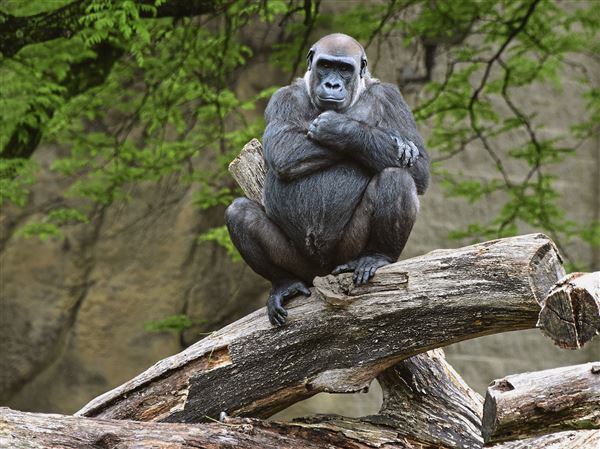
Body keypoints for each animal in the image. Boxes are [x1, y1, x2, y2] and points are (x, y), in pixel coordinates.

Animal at [224, 33, 426, 324]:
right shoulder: (282, 96)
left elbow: (419, 168)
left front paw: (340, 129)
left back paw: (377, 256)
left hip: (345, 255)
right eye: (326, 65)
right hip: (303, 267)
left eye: (344, 69)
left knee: (397, 178)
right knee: (240, 212)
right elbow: (283, 147)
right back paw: (284, 282)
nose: (332, 84)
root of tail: (322, 271)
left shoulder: (391, 97)